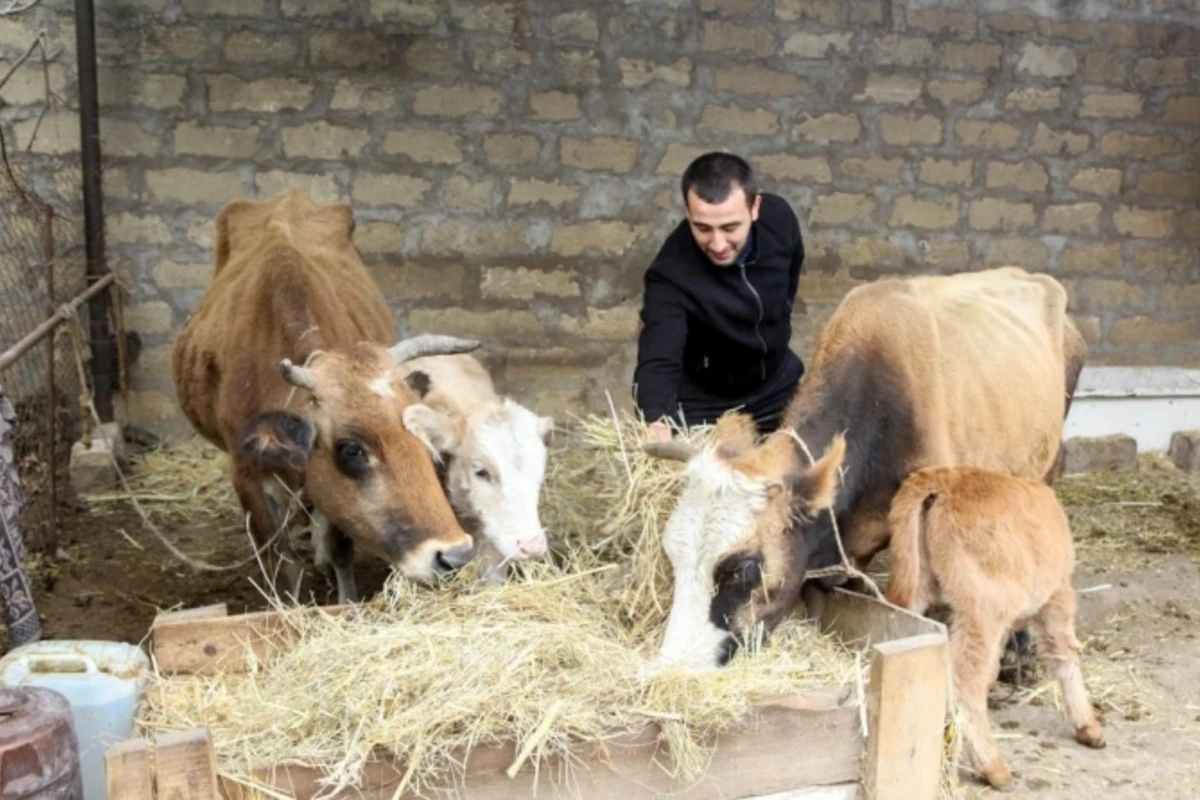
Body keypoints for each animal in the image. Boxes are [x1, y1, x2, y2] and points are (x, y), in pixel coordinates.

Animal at [170, 190, 487, 604]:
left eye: (423, 438)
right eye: (351, 450)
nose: (454, 555)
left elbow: (339, 546)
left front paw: (345, 598)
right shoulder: (247, 473)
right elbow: (280, 562)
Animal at [883, 465, 1104, 791]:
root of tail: (944, 478)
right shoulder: (1057, 596)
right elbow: (1065, 654)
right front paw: (1088, 726)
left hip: (915, 584)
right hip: (982, 607)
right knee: (966, 677)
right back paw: (993, 766)